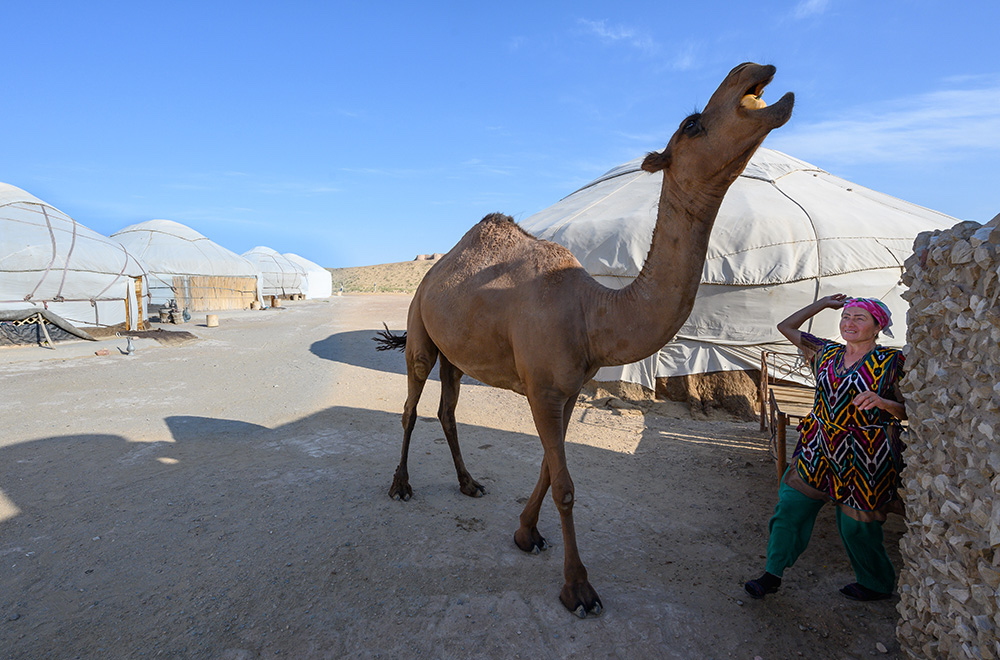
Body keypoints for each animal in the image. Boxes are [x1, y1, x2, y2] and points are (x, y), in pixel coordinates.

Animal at [376, 64, 796, 616]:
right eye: (691, 124)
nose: (753, 70)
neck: (592, 313)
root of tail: (430, 276)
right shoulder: (542, 389)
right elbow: (566, 486)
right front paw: (578, 588)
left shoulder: (570, 387)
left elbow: (548, 469)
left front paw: (526, 534)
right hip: (420, 328)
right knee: (410, 405)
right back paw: (400, 486)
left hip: (456, 352)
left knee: (447, 409)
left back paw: (469, 484)